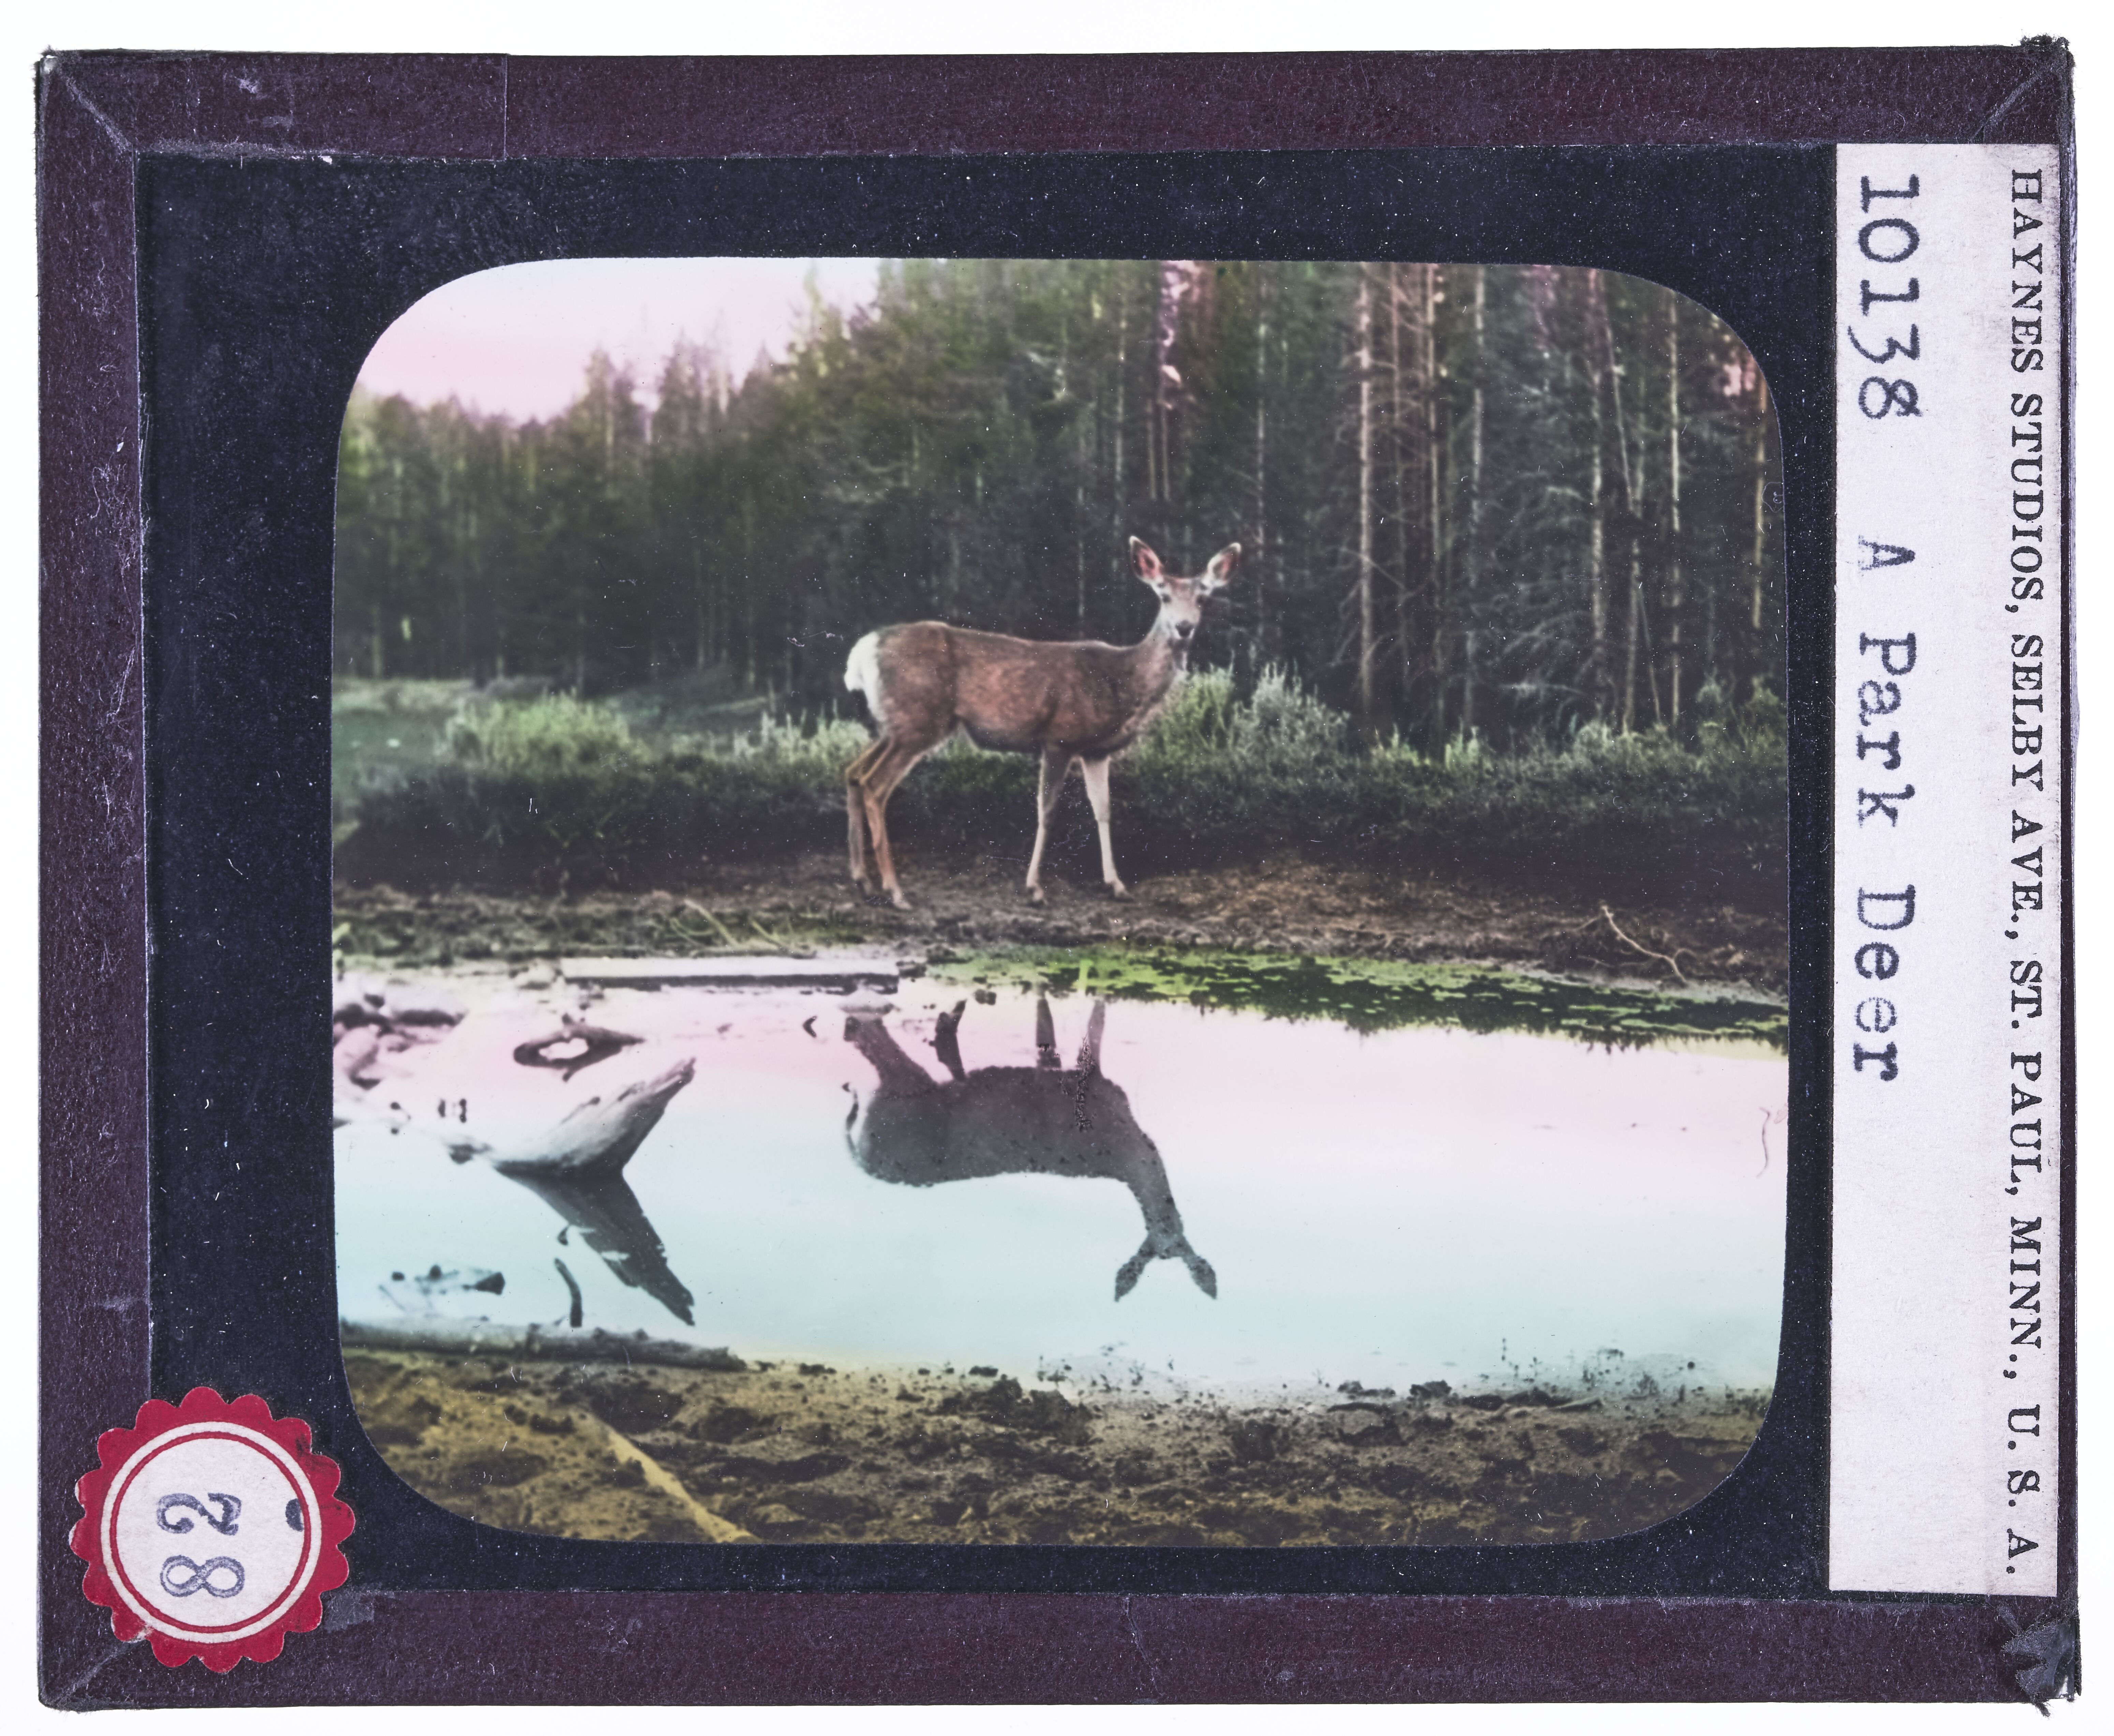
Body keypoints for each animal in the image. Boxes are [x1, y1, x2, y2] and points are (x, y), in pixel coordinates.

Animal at [842, 536, 1239, 909]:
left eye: (1203, 599)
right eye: (1164, 595)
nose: (1184, 627)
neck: (1122, 681)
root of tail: (862, 652)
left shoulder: (1097, 752)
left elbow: (1104, 810)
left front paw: (1116, 885)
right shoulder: (1059, 738)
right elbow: (1046, 811)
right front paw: (1034, 888)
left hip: (895, 724)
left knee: (854, 772)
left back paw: (863, 880)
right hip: (919, 720)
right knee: (875, 785)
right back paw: (895, 891)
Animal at [842, 996, 1218, 1301]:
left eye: (1179, 1241)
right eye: (1154, 1244)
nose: (1167, 1230)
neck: (1127, 1144)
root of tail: (866, 1160)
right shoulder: (1094, 1085)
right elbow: (1088, 1027)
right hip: (907, 1098)